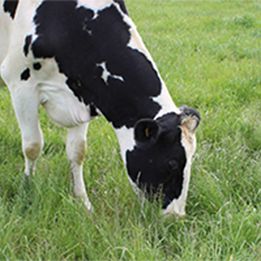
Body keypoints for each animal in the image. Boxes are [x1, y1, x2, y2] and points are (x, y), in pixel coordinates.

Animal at [0, 0, 199, 215]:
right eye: (172, 163)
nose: (176, 215)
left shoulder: (83, 95)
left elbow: (77, 152)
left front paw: (83, 203)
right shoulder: (21, 85)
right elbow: (32, 146)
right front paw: (27, 190)